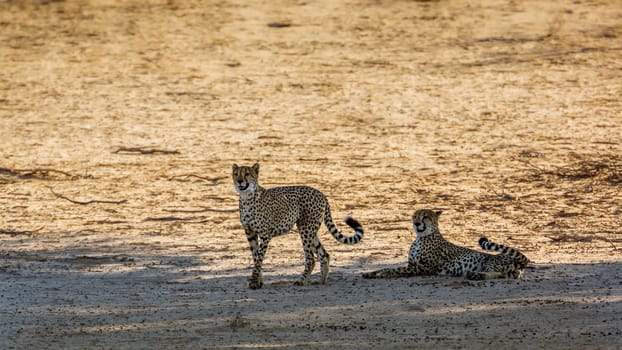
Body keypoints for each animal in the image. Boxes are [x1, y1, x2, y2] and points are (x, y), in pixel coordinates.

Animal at [232, 164, 364, 290]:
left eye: (247, 174)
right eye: (236, 174)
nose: (239, 181)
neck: (247, 197)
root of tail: (321, 193)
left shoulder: (265, 234)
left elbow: (259, 258)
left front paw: (254, 283)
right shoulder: (250, 233)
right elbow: (255, 257)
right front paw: (258, 282)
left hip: (305, 228)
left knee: (310, 258)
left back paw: (302, 281)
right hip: (309, 230)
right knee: (324, 255)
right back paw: (321, 281)